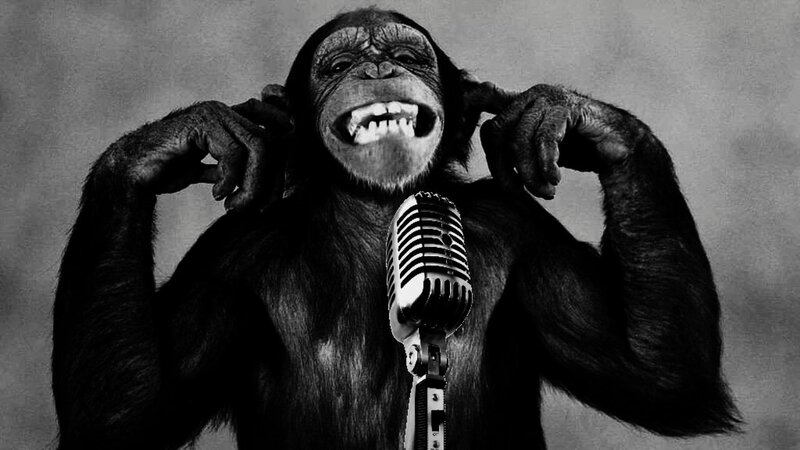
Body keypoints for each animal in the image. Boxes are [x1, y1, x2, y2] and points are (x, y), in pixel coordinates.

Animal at [53, 7, 740, 449]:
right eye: (338, 64)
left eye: (408, 55)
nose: (379, 68)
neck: (379, 209)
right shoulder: (228, 260)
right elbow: (124, 410)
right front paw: (178, 139)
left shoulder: (523, 234)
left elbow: (657, 374)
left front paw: (562, 115)